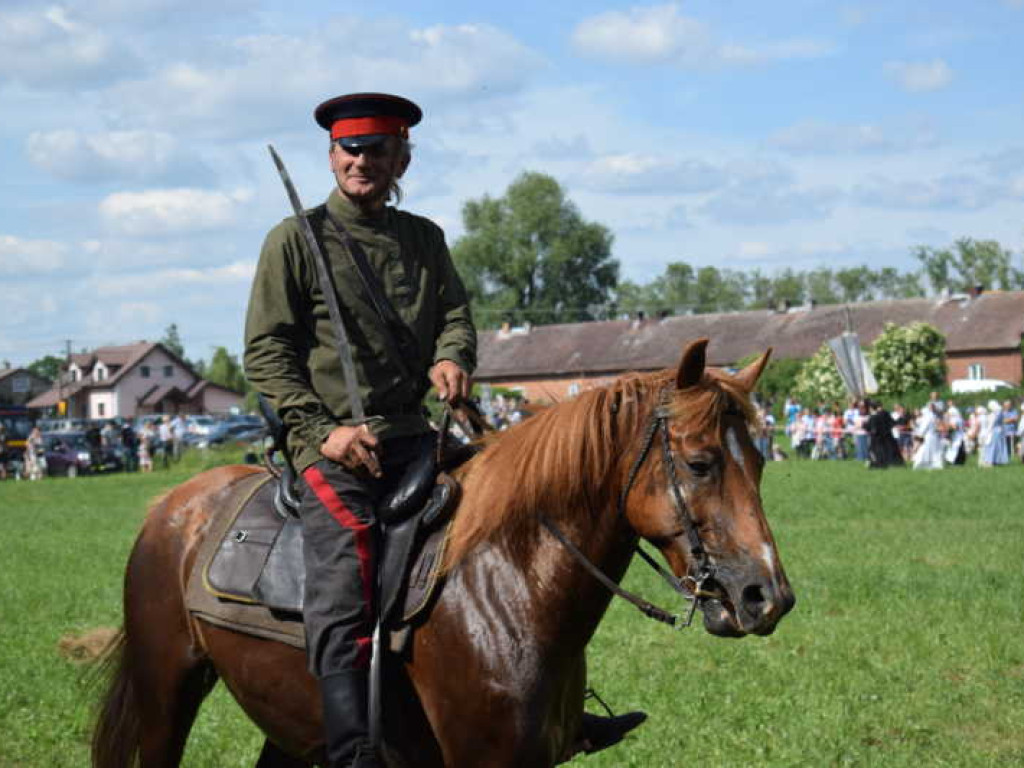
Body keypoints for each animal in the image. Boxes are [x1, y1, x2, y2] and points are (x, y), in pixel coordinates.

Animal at [92, 339, 795, 768]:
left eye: (760, 460)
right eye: (701, 463)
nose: (766, 596)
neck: (508, 586)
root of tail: (172, 506)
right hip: (165, 694)